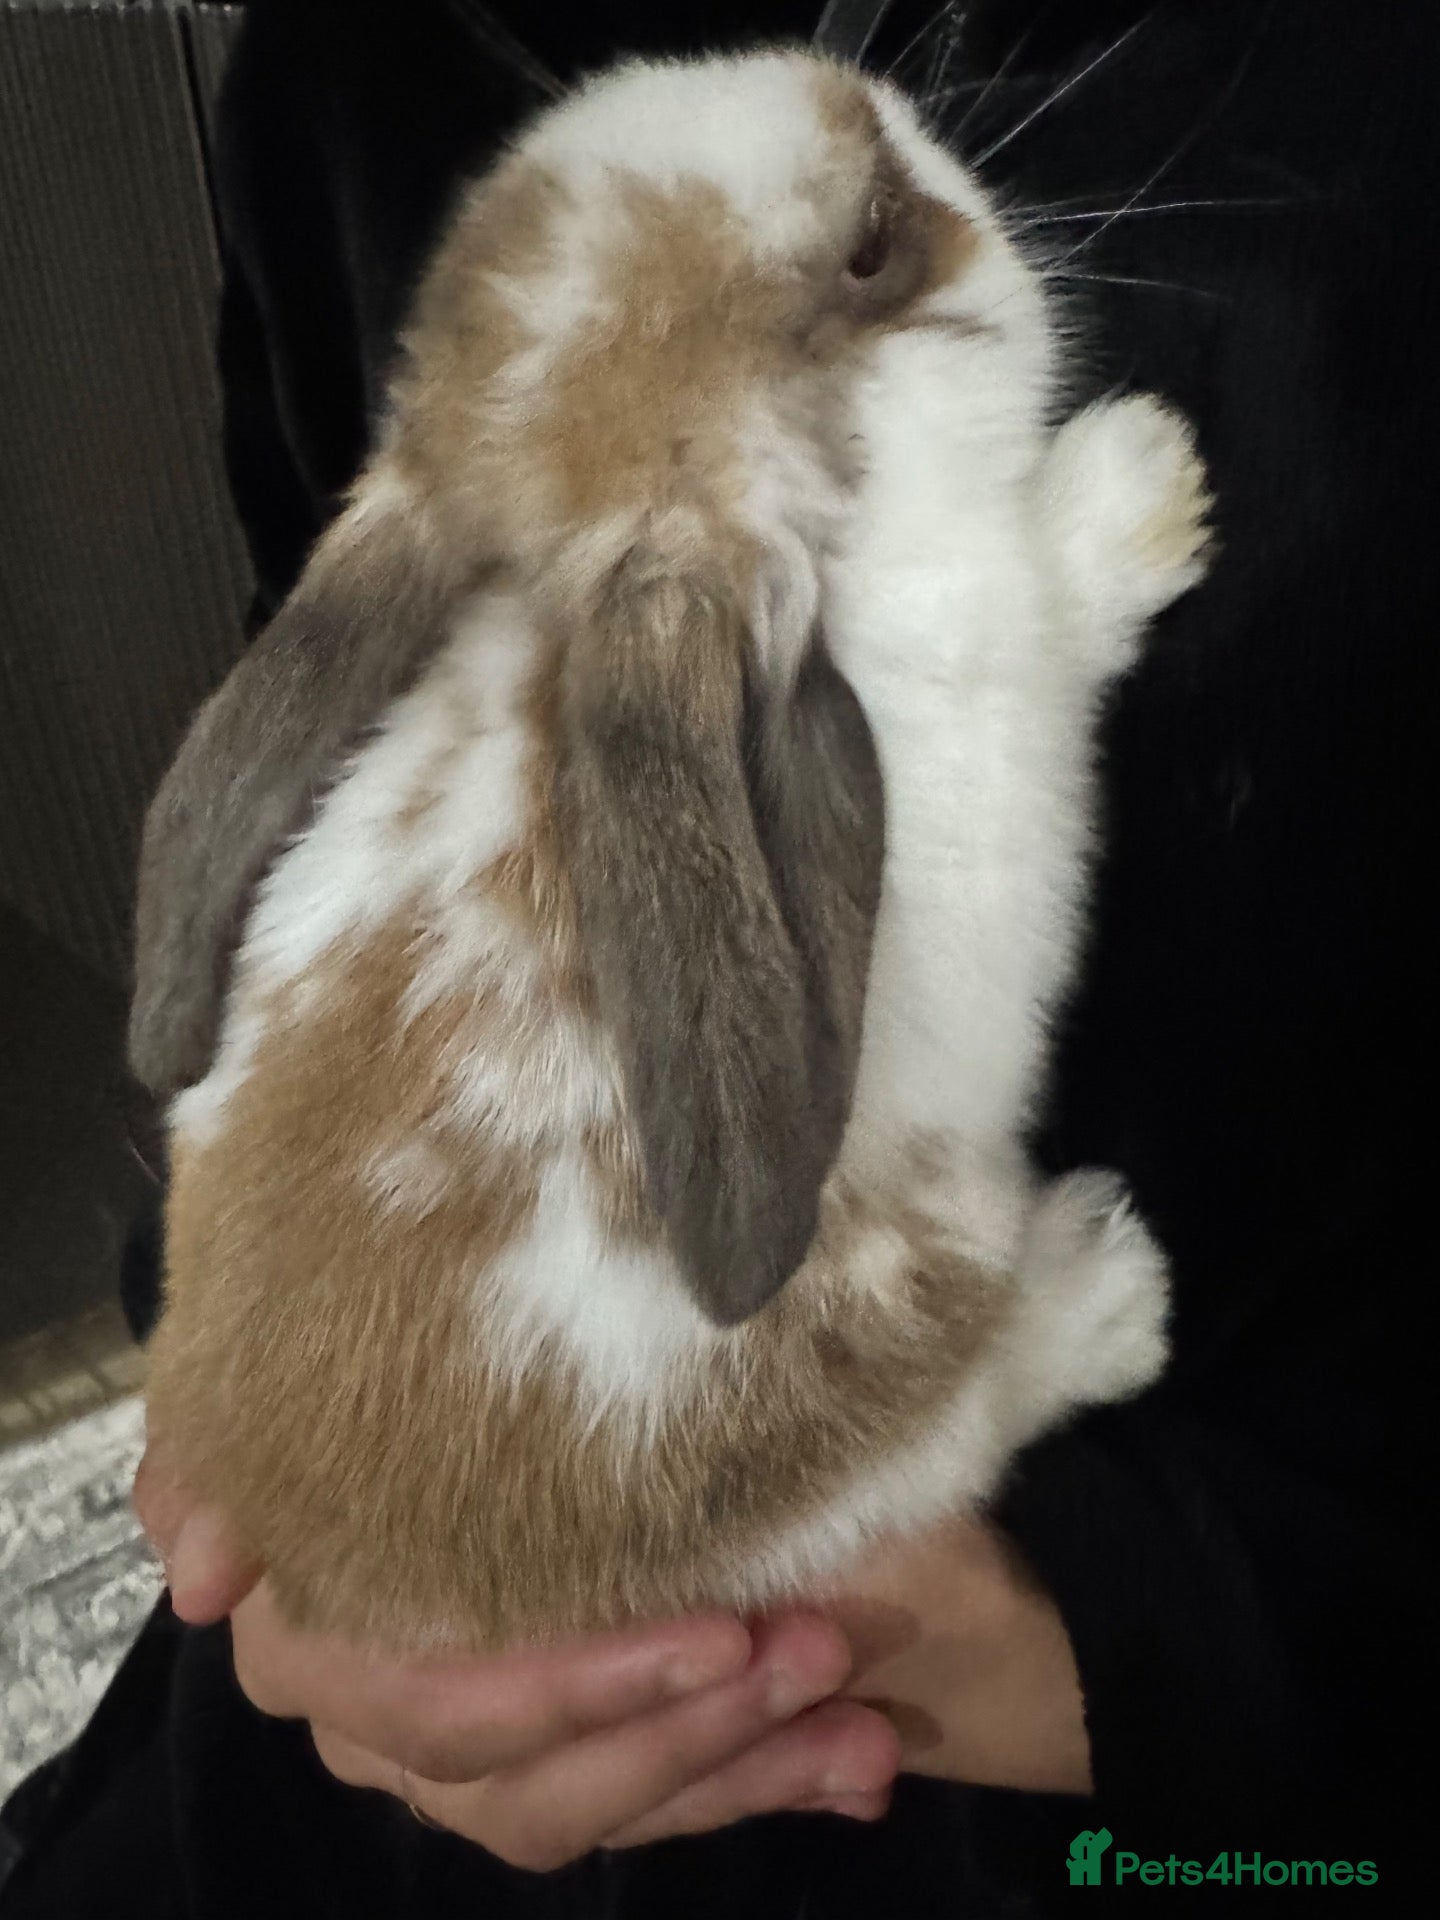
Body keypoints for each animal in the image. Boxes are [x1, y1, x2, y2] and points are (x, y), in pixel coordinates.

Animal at [141, 46, 1212, 1654]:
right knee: (962, 1424)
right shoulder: (1000, 643)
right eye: (869, 247)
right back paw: (1109, 1289)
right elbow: (1056, 590)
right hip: (864, 1401)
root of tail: (344, 1568)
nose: (873, 96)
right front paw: (1148, 484)